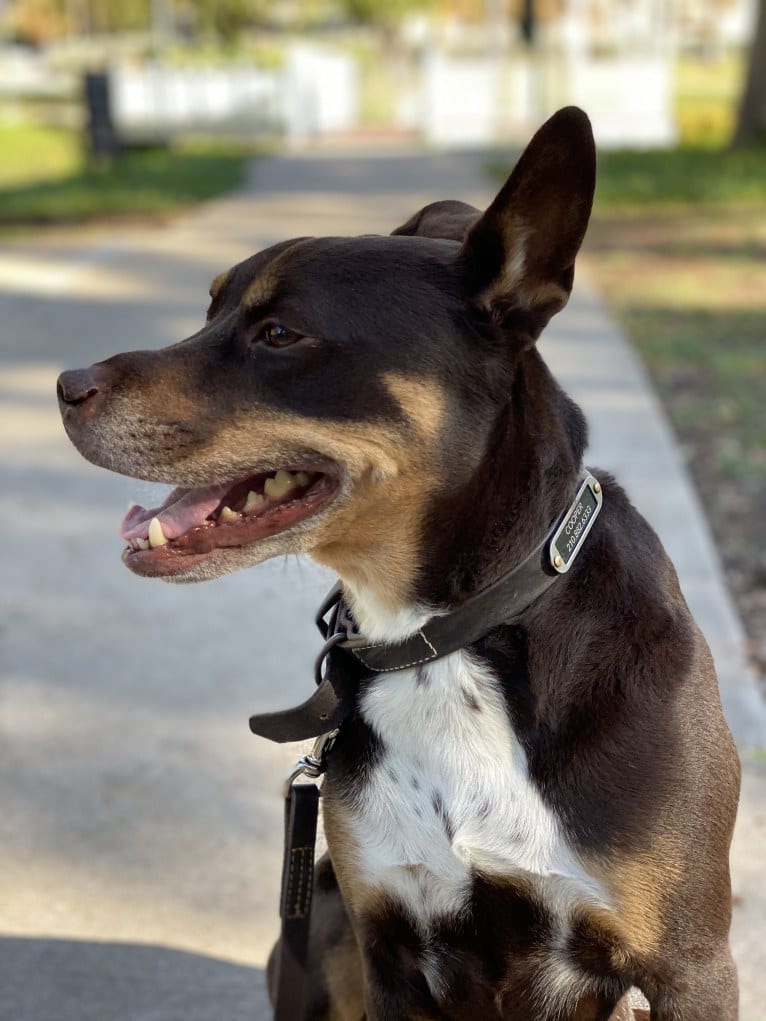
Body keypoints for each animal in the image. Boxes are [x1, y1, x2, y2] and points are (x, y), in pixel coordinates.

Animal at [56, 107, 739, 1016]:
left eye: (280, 333)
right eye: (210, 311)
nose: (65, 385)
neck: (442, 636)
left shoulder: (690, 964)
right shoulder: (386, 938)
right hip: (319, 921)